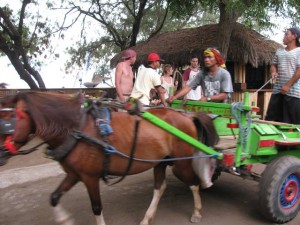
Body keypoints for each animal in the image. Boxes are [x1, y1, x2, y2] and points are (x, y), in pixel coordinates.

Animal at [10, 91, 219, 225]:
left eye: (10, 119)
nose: (4, 151)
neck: (76, 129)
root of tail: (187, 116)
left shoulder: (90, 177)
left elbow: (96, 207)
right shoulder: (74, 174)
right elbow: (54, 197)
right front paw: (64, 220)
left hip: (181, 161)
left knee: (193, 183)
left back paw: (197, 212)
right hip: (161, 161)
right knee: (160, 187)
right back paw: (146, 218)